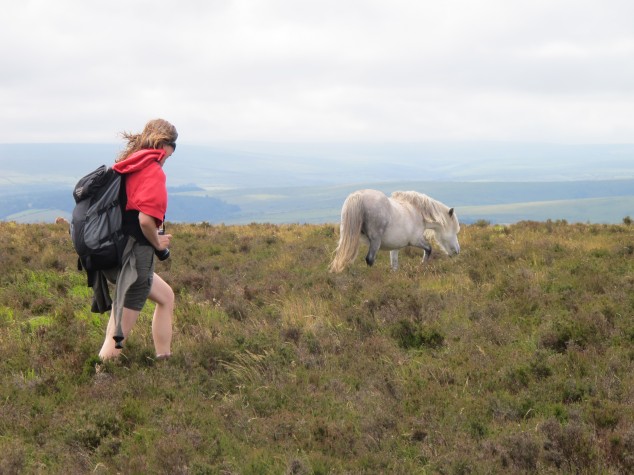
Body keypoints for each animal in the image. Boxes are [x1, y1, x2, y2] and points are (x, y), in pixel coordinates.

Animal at [328, 189, 456, 274]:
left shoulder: (395, 247)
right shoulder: (416, 240)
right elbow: (429, 249)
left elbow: (394, 264)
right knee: (370, 259)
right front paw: (422, 266)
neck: (417, 212)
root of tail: (358, 195)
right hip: (375, 241)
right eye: (455, 231)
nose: (456, 252)